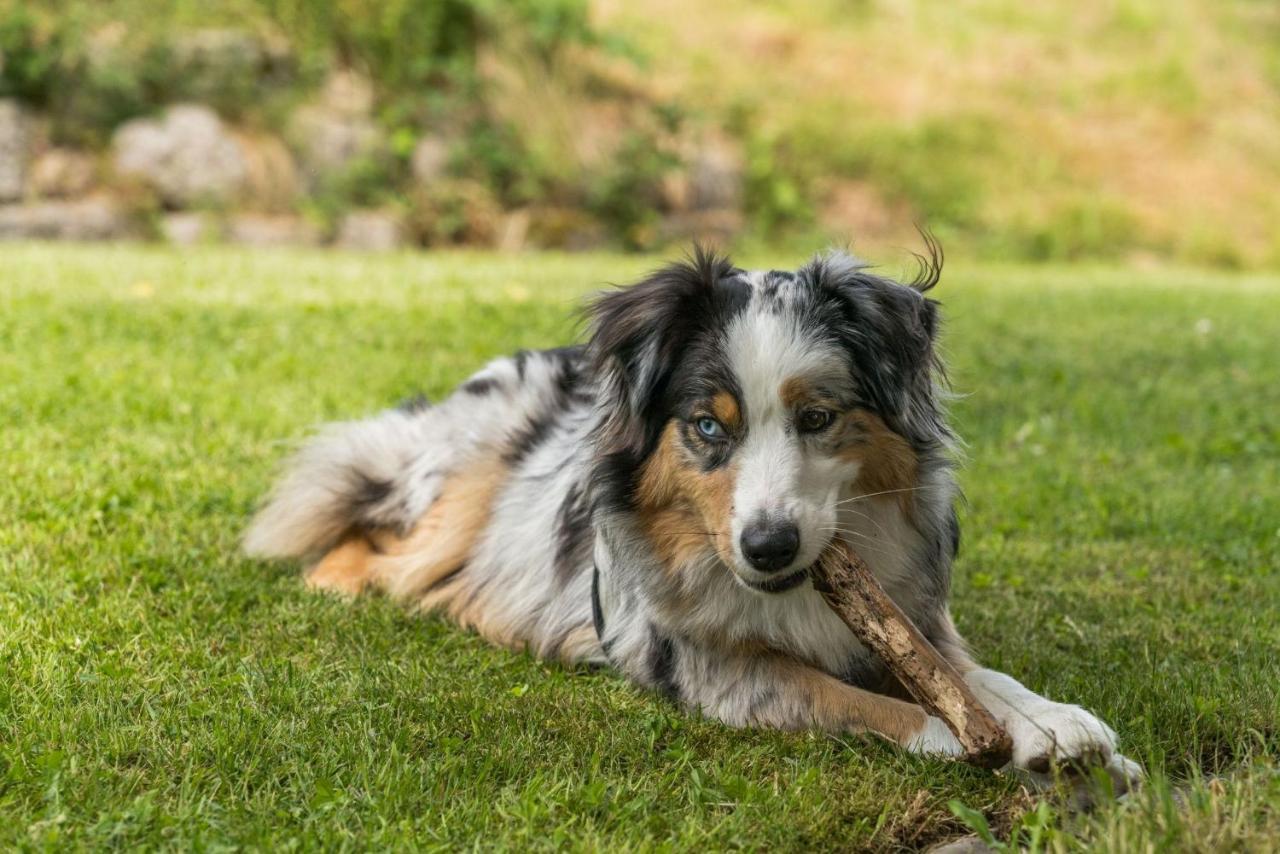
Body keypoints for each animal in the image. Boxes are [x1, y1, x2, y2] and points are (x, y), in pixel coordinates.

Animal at [247, 245, 1141, 788]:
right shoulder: (710, 667)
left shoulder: (910, 619)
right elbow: (874, 704)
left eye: (818, 418)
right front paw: (974, 743)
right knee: (366, 539)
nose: (771, 547)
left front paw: (1063, 729)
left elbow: (977, 677)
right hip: (455, 503)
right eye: (709, 426)